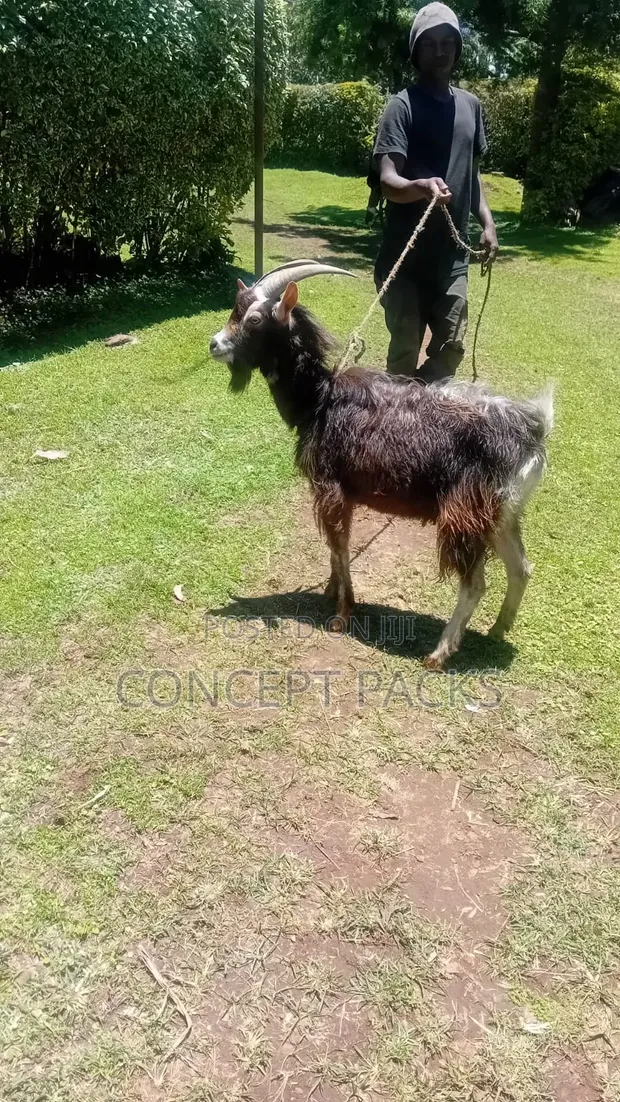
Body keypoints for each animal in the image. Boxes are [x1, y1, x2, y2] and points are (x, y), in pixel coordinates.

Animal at [210, 261, 553, 668]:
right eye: (235, 310)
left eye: (255, 318)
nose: (214, 344)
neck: (320, 400)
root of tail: (534, 428)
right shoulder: (342, 492)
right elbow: (334, 548)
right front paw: (331, 590)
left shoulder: (331, 488)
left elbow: (341, 546)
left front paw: (343, 613)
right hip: (502, 514)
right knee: (522, 568)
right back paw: (498, 629)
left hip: (466, 512)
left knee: (475, 584)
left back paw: (439, 652)